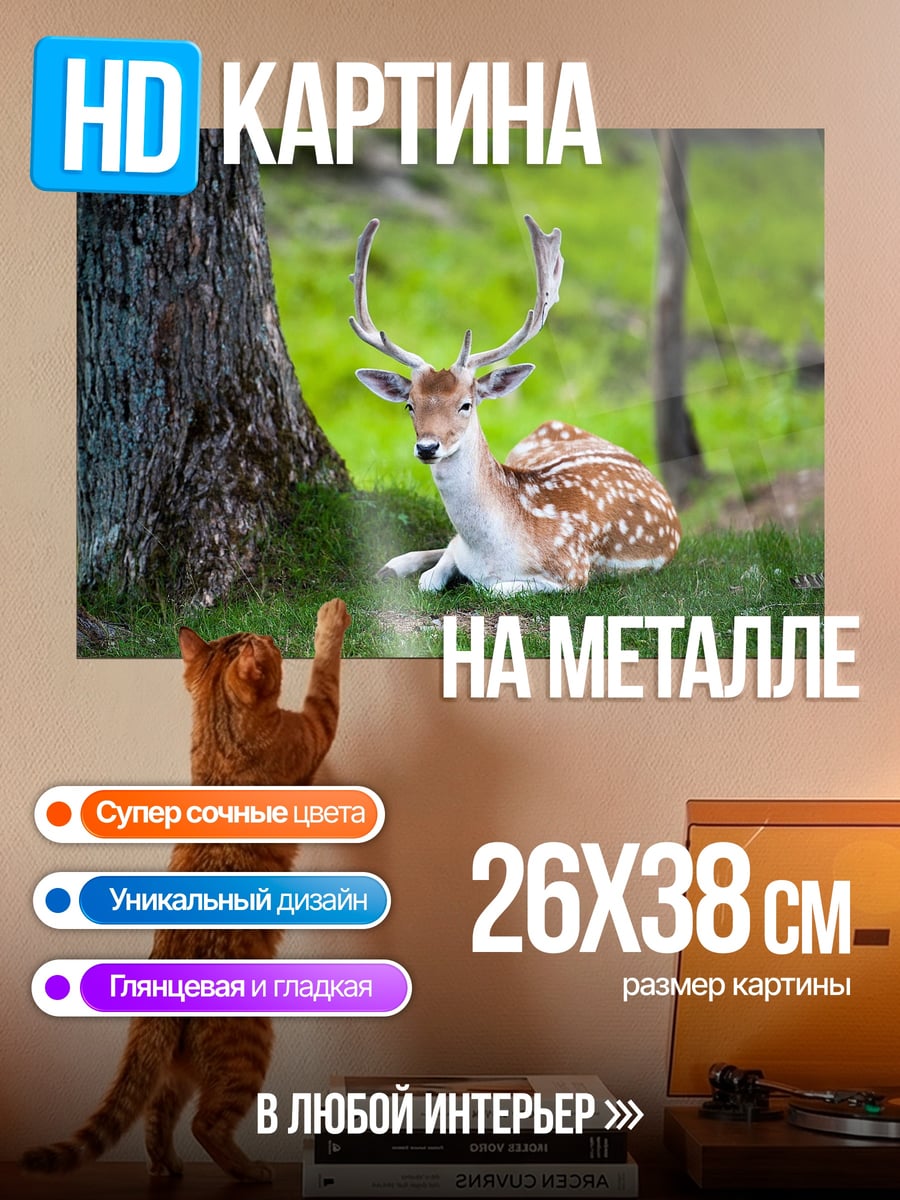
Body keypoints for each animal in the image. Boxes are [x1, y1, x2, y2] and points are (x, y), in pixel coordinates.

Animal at [349, 215, 681, 595]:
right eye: (410, 405)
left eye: (466, 405)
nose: (428, 447)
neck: (492, 550)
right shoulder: (460, 549)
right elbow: (432, 575)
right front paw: (406, 567)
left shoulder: (572, 571)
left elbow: (489, 587)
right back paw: (391, 565)